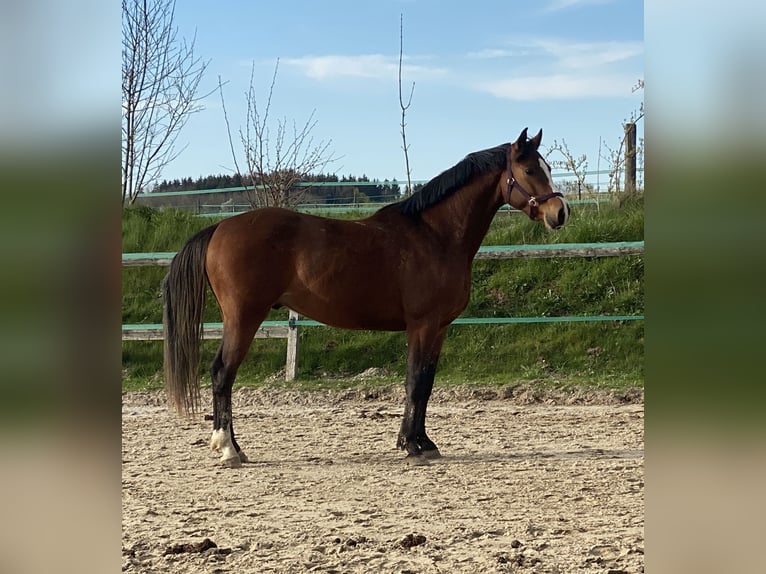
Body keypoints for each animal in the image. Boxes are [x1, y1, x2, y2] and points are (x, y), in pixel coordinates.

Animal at [162, 128, 568, 470]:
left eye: (547, 167)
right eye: (530, 168)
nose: (560, 212)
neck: (434, 235)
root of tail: (220, 227)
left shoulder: (438, 328)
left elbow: (426, 384)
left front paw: (424, 442)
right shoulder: (421, 325)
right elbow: (414, 382)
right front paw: (411, 446)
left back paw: (235, 448)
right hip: (244, 317)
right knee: (222, 373)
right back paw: (228, 449)